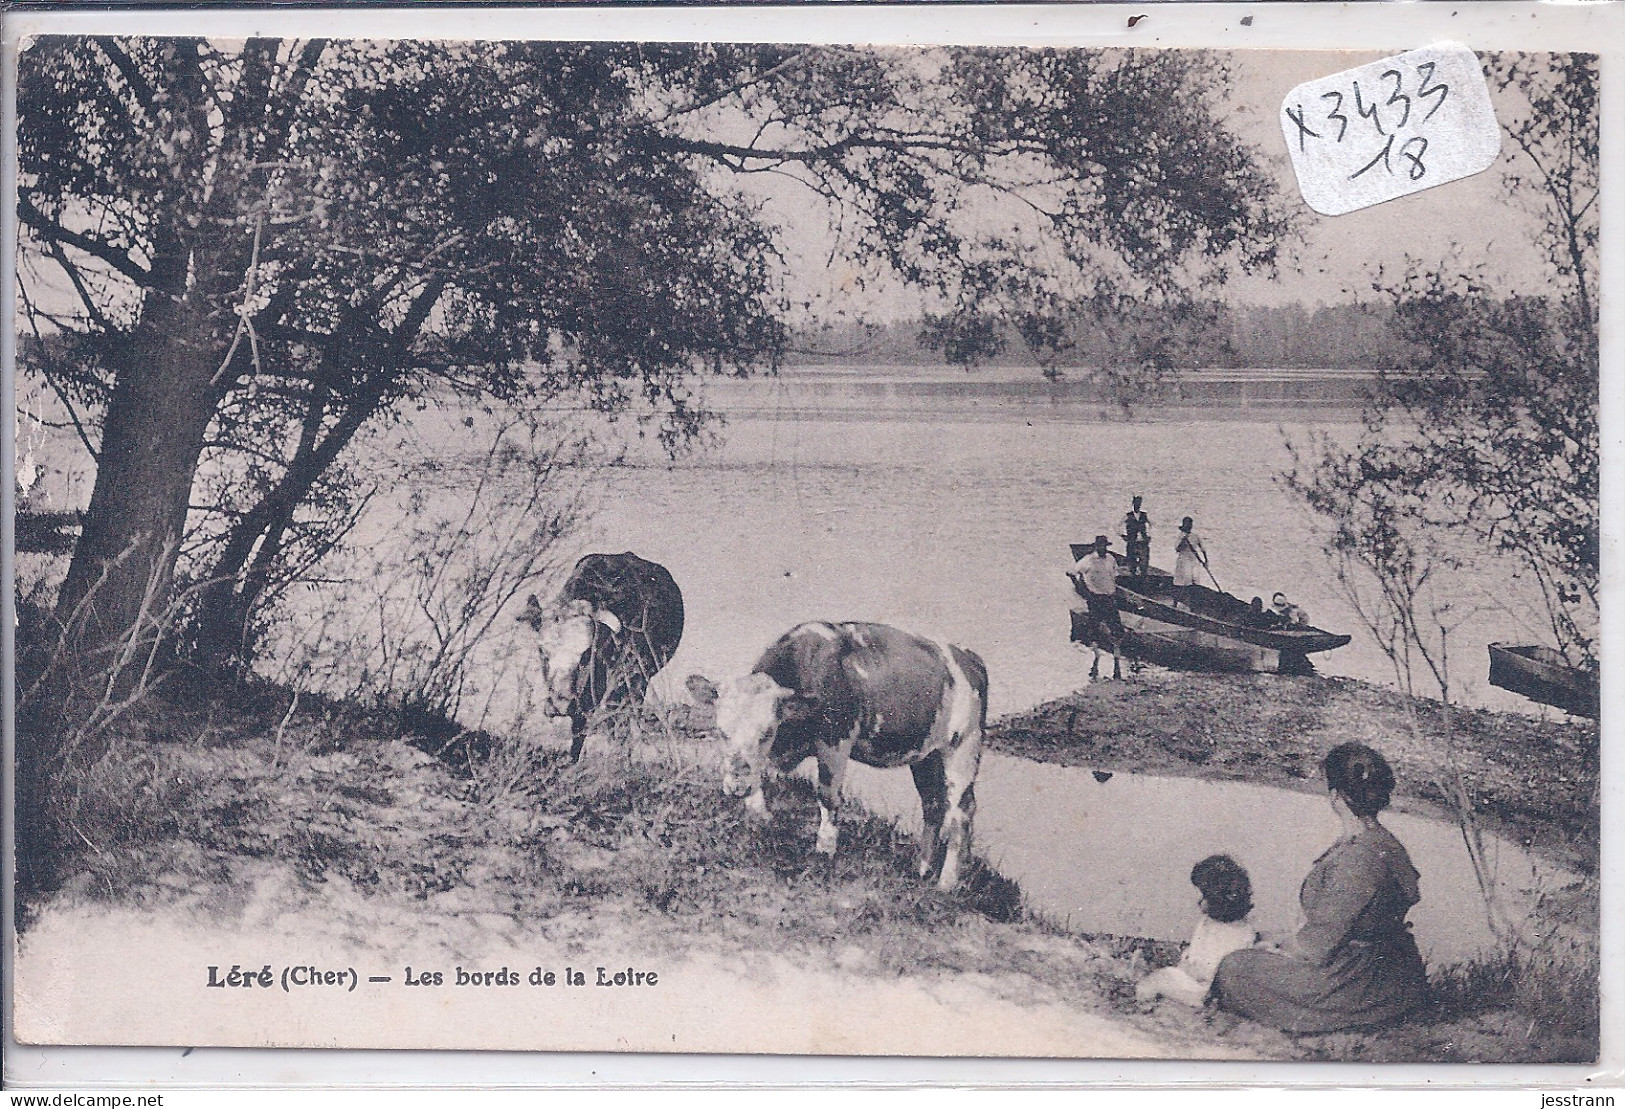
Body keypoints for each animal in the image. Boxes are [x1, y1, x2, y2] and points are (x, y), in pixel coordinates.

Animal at [513, 549, 679, 761]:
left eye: (586, 654)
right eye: (542, 651)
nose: (560, 704)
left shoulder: (624, 681)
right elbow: (578, 726)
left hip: (641, 679)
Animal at [715, 621, 988, 891]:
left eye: (767, 732)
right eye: (721, 731)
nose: (736, 786)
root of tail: (969, 658)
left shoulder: (835, 740)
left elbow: (828, 796)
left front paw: (824, 852)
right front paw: (757, 815)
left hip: (963, 749)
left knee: (961, 813)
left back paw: (946, 883)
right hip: (926, 757)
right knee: (933, 805)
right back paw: (921, 870)